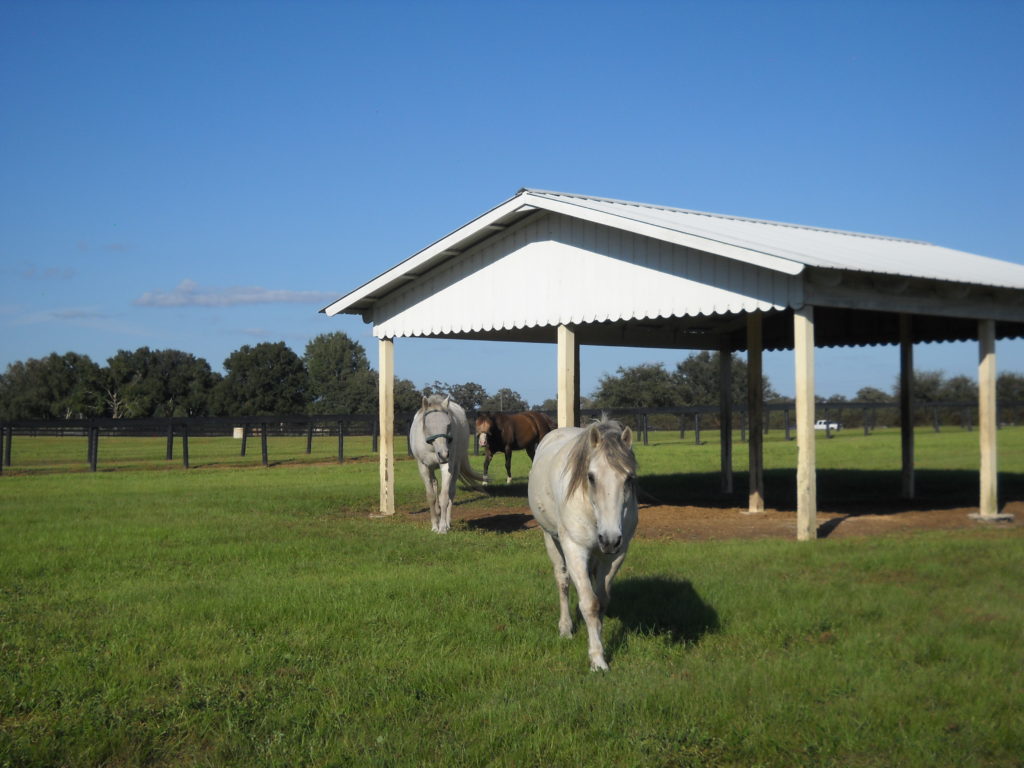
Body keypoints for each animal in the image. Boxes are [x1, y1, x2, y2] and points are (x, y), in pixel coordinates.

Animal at [407, 397, 483, 536]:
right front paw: (434, 526)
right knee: (434, 482)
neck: (433, 447)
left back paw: (448, 523)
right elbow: (431, 496)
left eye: (448, 425)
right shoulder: (423, 467)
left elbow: (444, 497)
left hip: (456, 465)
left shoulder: (447, 465)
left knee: (451, 492)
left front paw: (442, 528)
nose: (443, 454)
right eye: (428, 425)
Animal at [528, 417, 638, 671]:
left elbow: (602, 601)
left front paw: (599, 637)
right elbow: (589, 603)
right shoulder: (574, 549)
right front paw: (597, 659)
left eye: (629, 478)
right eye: (591, 476)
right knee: (563, 581)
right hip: (552, 540)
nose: (610, 538)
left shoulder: (615, 555)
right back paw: (566, 628)